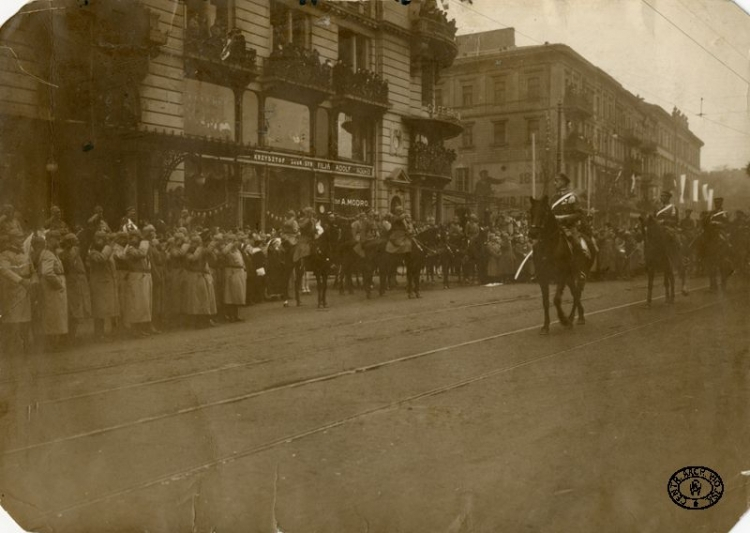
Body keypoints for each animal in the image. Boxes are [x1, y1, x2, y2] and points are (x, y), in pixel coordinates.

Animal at [528, 197, 600, 334]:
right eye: (530, 212)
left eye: (544, 213)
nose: (533, 233)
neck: (549, 247)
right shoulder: (543, 278)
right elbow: (545, 302)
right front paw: (545, 326)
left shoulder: (562, 275)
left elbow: (556, 299)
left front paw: (563, 319)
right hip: (570, 278)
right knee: (575, 293)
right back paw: (578, 316)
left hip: (581, 274)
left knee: (577, 294)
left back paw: (572, 319)